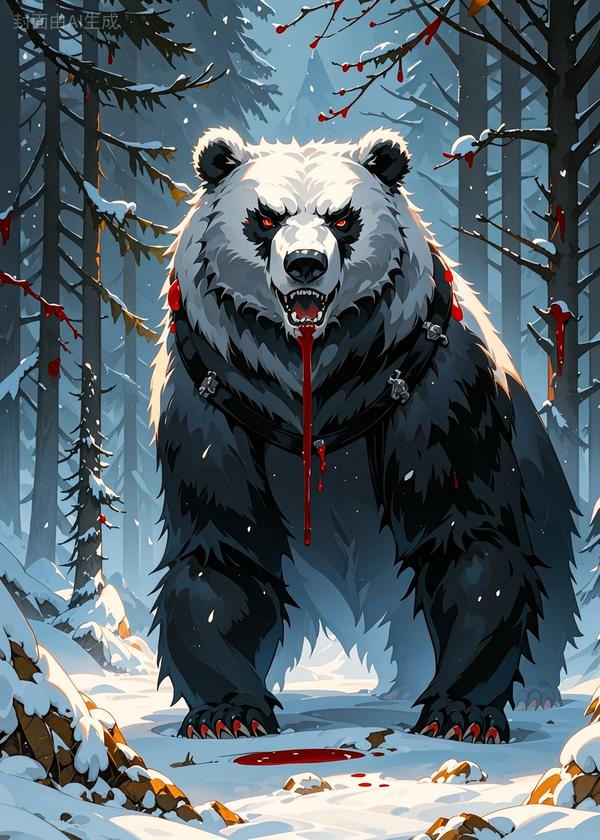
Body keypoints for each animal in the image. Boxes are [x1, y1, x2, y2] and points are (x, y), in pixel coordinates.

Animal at [149, 127, 579, 744]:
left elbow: (465, 536)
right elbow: (224, 548)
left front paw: (460, 711)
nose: (305, 264)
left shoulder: (432, 393)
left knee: (547, 558)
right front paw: (229, 711)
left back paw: (534, 690)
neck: (311, 379)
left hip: (533, 462)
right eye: (266, 218)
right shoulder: (215, 406)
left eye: (342, 218)